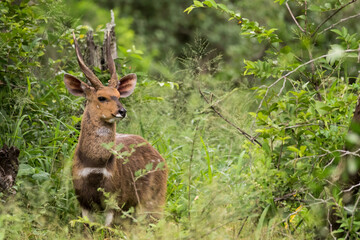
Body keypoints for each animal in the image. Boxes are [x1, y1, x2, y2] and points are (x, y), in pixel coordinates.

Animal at [63, 32, 167, 227]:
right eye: (101, 97)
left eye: (118, 96)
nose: (122, 111)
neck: (94, 167)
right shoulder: (84, 202)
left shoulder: (115, 201)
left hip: (155, 201)